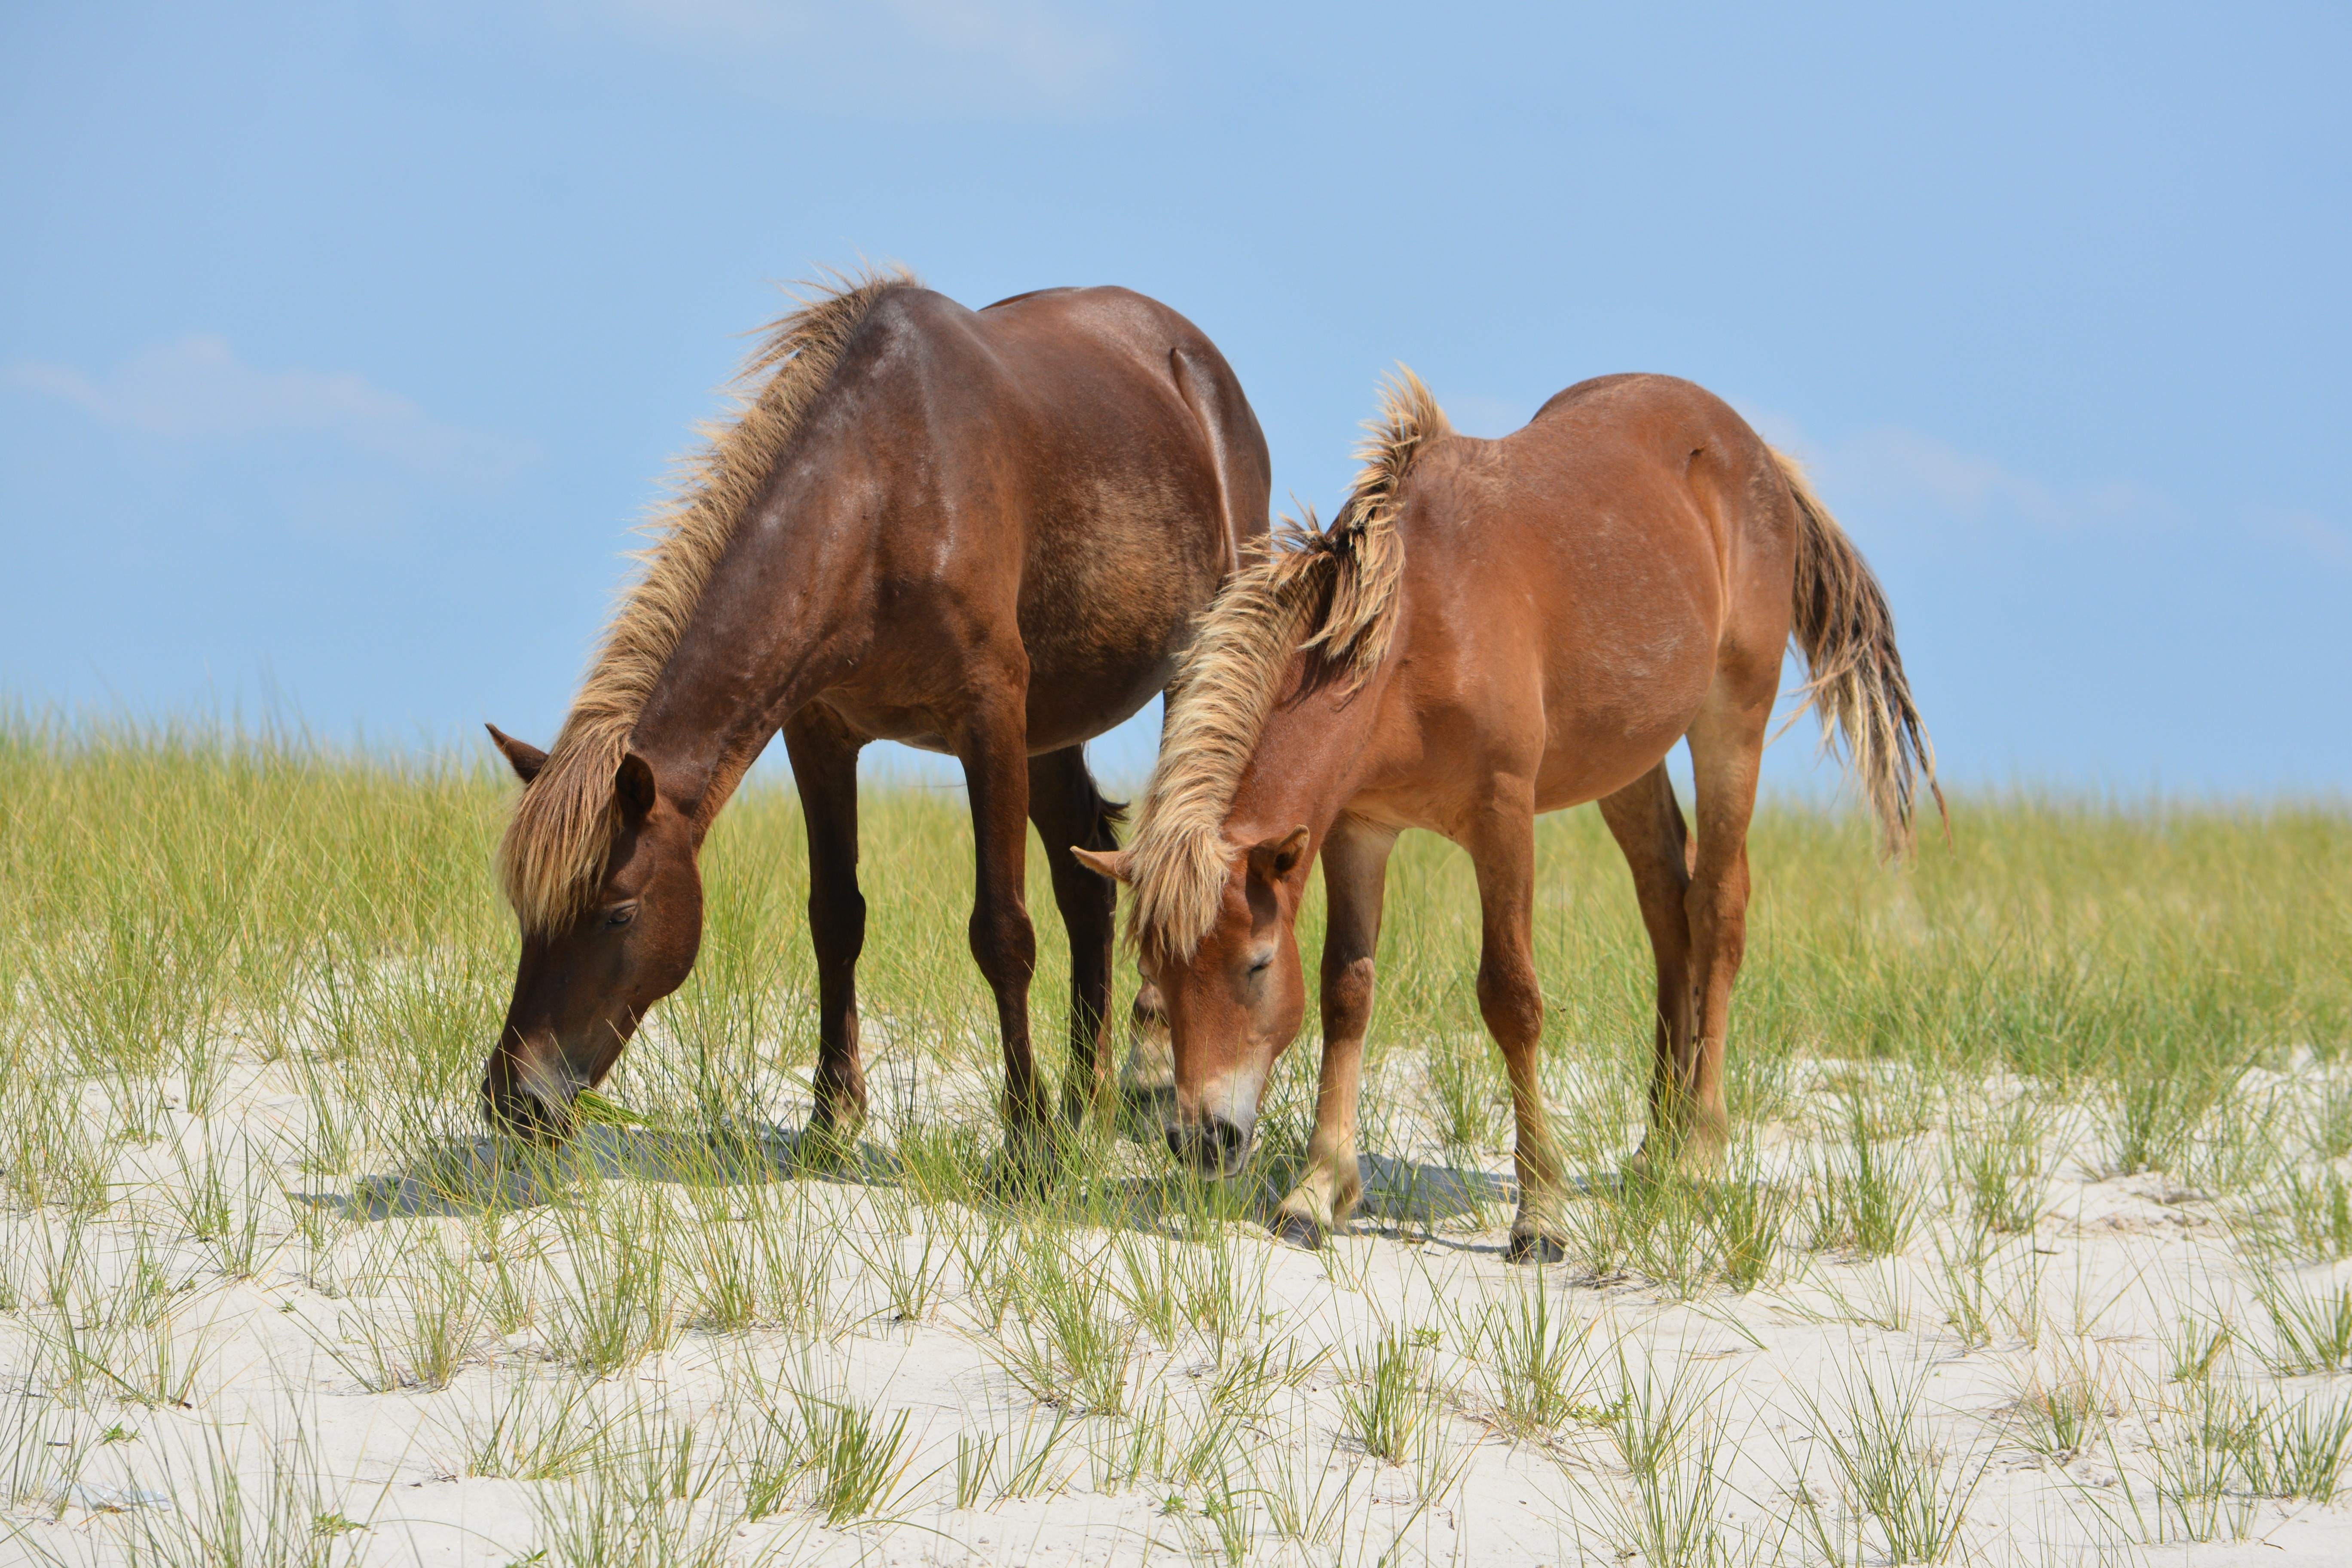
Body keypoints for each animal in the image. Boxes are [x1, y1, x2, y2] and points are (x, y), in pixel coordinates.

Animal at [475, 270, 1270, 1161]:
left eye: (617, 912)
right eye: (525, 911)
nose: (514, 1098)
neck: (882, 491)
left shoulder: (987, 721)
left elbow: (1002, 931)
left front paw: (1025, 1142)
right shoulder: (820, 736)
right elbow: (836, 917)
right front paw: (830, 1119)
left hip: (1190, 674)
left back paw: (1136, 1073)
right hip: (1051, 724)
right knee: (1085, 876)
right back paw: (1084, 1099)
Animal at [1077, 369, 1938, 1260]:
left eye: (1252, 965)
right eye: (1156, 972)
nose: (1199, 1139)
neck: (1414, 624)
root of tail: (1755, 449)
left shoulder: (1502, 818)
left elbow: (1511, 998)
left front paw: (1541, 1212)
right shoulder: (1359, 828)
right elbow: (1345, 990)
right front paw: (1317, 1189)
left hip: (1730, 721)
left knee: (1717, 908)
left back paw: (1699, 1148)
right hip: (1625, 762)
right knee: (1666, 905)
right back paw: (1655, 1143)